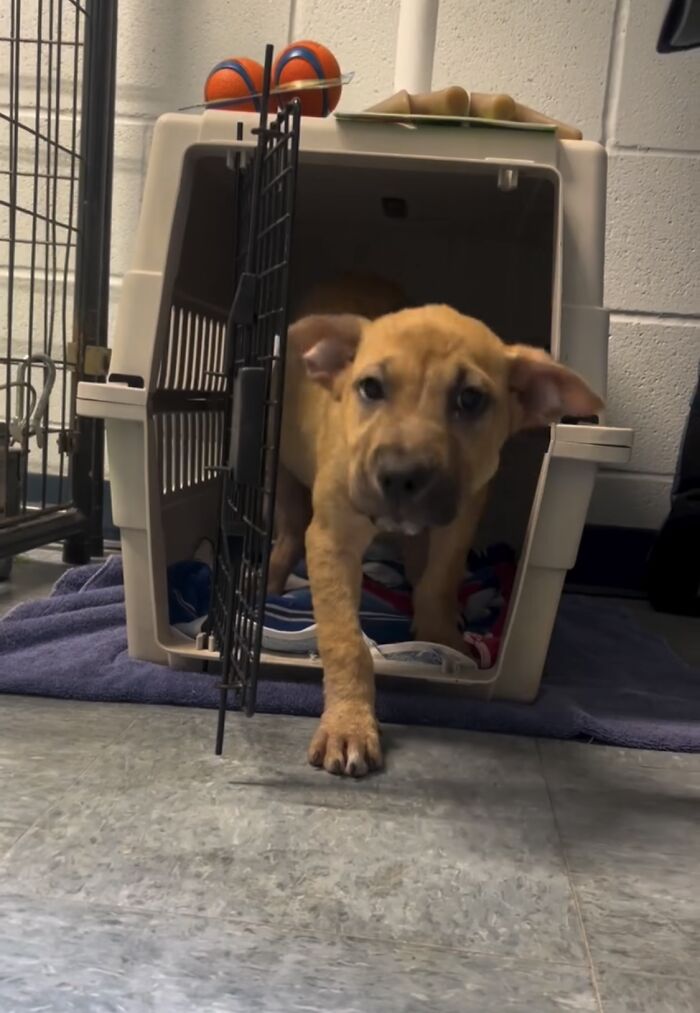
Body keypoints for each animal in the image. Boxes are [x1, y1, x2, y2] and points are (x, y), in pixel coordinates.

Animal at [267, 281, 603, 777]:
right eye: (370, 388)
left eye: (470, 398)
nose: (400, 476)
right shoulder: (331, 538)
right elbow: (344, 639)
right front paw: (349, 724)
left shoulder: (463, 512)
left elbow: (440, 578)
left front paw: (440, 636)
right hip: (284, 476)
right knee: (288, 532)